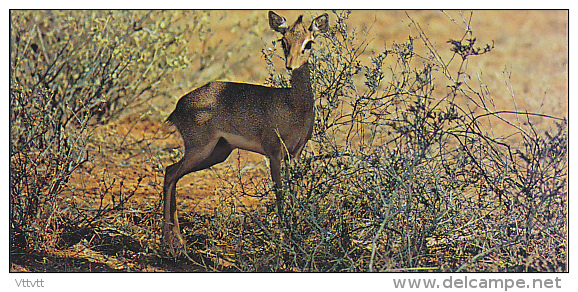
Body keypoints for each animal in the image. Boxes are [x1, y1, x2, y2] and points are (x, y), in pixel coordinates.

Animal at [162, 12, 326, 249]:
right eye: (283, 41)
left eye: (309, 42)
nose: (290, 66)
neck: (294, 106)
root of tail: (177, 107)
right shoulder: (273, 154)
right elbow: (280, 194)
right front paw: (285, 240)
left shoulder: (294, 155)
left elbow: (293, 193)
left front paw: (296, 236)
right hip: (200, 149)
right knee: (170, 174)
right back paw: (168, 240)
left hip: (217, 153)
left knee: (172, 173)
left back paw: (178, 239)